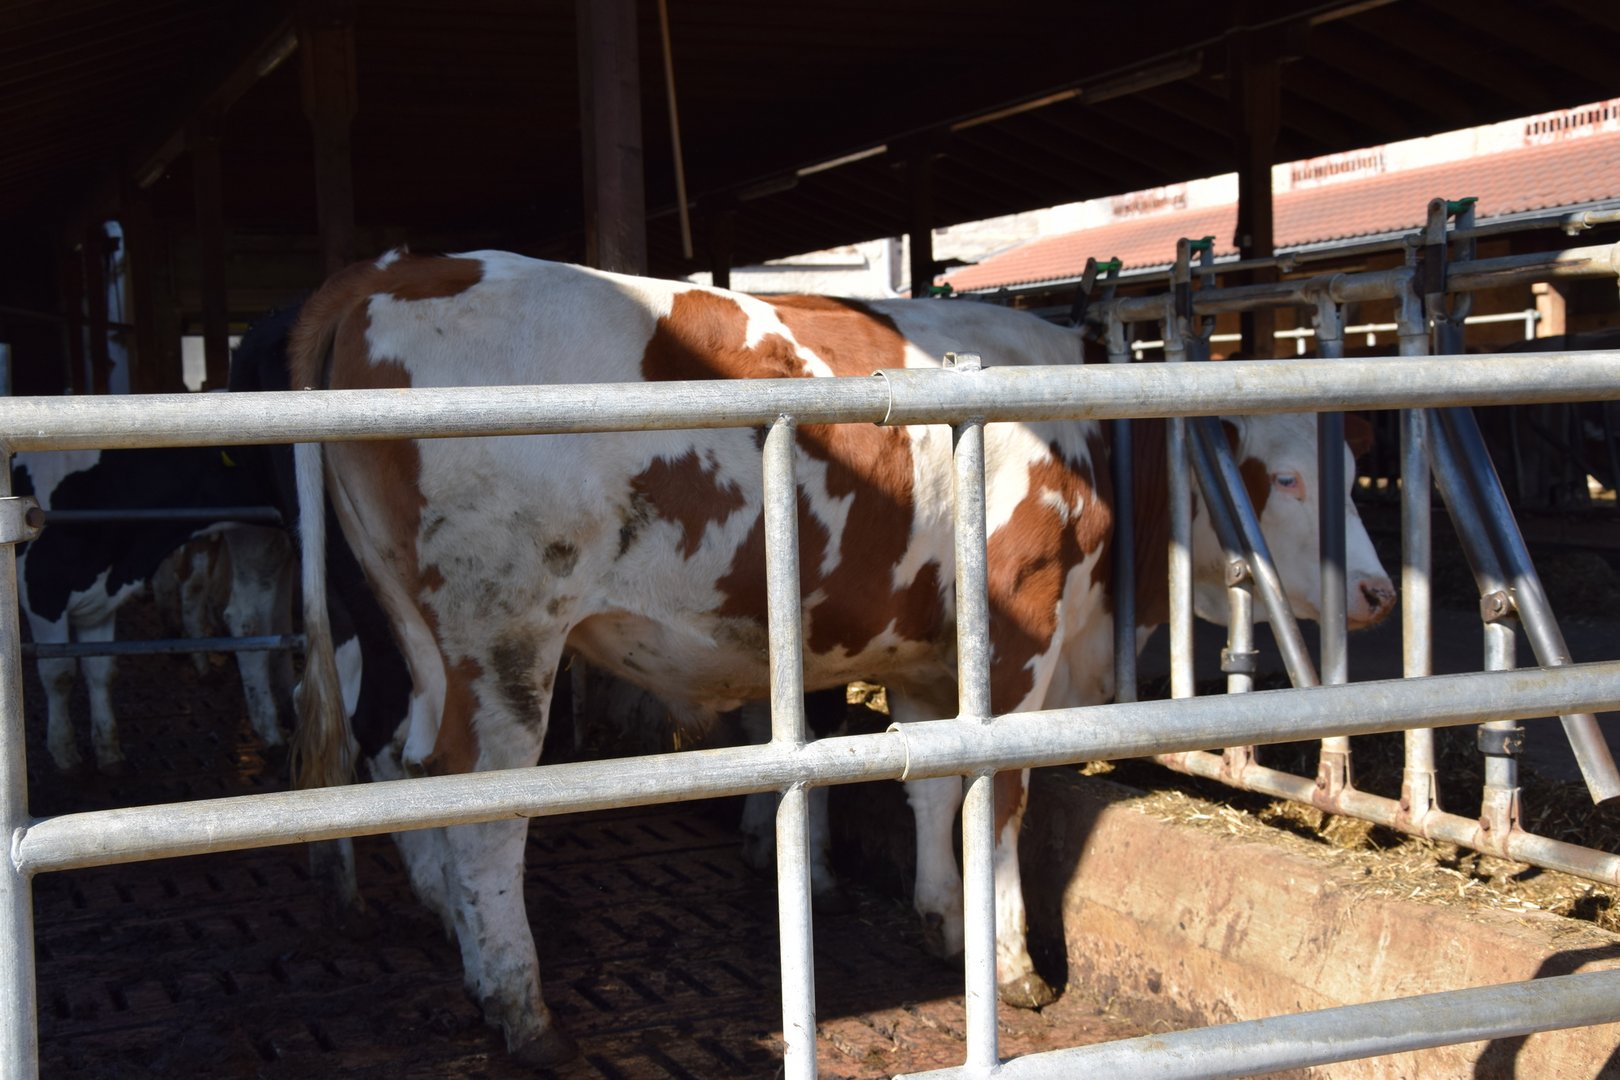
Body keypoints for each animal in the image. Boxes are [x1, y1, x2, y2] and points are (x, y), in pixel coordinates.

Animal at [13, 448, 297, 774]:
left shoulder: (100, 599)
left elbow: (100, 669)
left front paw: (108, 752)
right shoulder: (42, 592)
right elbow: (59, 673)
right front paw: (64, 753)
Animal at [285, 250, 1396, 1066]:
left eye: (1352, 472)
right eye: (1287, 478)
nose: (1382, 595)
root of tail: (397, 269)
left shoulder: (928, 655)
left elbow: (936, 785)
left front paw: (942, 920)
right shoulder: (1022, 636)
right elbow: (1001, 798)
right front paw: (1009, 963)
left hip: (416, 633)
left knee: (406, 764)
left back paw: (453, 932)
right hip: (505, 634)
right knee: (484, 801)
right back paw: (520, 1008)